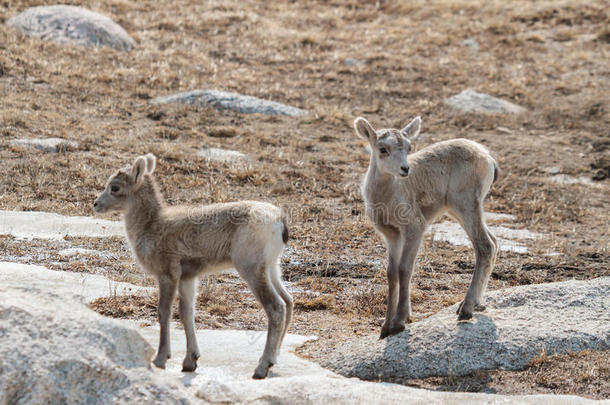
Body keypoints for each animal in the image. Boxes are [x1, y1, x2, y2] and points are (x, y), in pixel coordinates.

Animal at [93, 153, 292, 378]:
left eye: (115, 187)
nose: (96, 204)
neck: (152, 226)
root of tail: (279, 221)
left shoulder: (168, 274)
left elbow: (164, 311)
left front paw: (161, 359)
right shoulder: (187, 278)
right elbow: (187, 313)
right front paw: (190, 362)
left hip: (251, 269)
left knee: (276, 307)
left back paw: (262, 367)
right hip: (272, 268)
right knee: (289, 301)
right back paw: (274, 359)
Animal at [352, 117, 498, 338]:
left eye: (409, 147)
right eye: (383, 149)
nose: (405, 169)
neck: (387, 197)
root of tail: (488, 158)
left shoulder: (414, 229)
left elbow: (404, 269)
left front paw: (399, 323)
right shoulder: (392, 236)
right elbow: (391, 273)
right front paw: (385, 328)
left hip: (466, 206)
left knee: (485, 246)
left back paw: (465, 310)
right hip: (460, 211)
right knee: (494, 242)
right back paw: (475, 304)